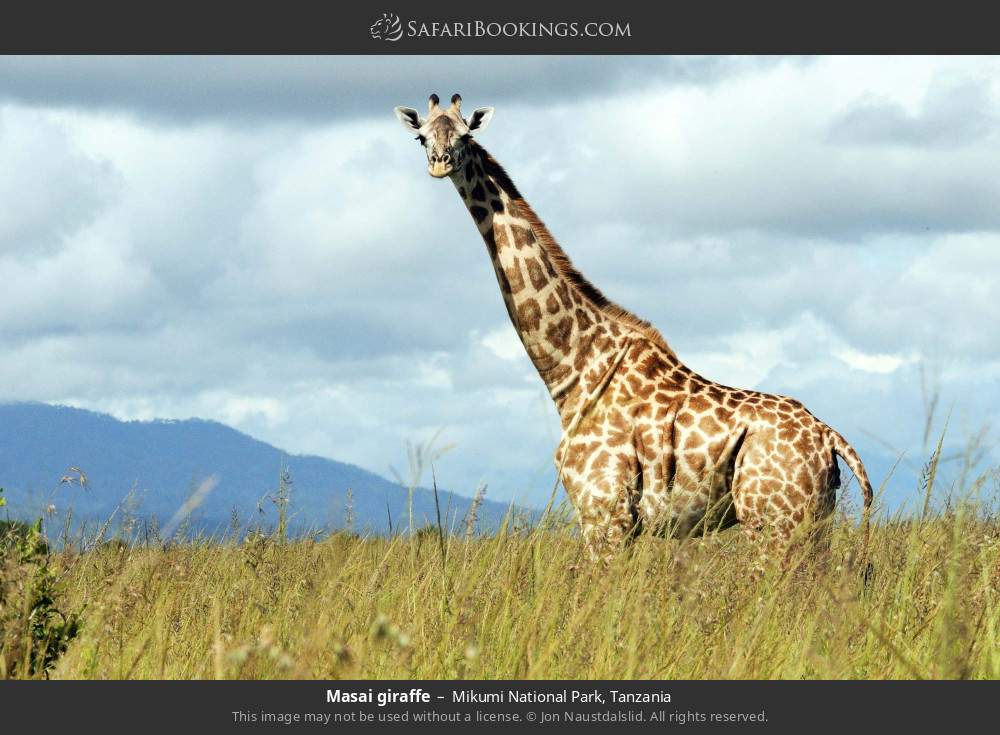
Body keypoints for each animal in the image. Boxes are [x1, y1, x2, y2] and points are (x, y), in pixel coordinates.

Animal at [394, 93, 874, 561]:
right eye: (422, 136)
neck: (572, 368)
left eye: (464, 136)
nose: (439, 162)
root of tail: (830, 439)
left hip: (773, 524)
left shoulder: (604, 513)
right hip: (812, 522)